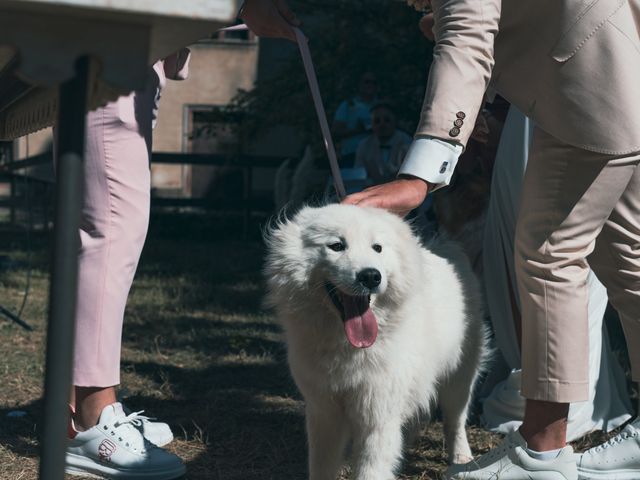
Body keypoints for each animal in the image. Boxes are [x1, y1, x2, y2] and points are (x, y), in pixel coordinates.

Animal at [264, 204, 484, 478]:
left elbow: (370, 470)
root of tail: (446, 248)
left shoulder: (377, 417)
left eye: (377, 248)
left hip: (459, 377)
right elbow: (322, 466)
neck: (347, 347)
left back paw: (461, 458)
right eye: (337, 245)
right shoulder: (324, 413)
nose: (370, 276)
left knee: (455, 420)